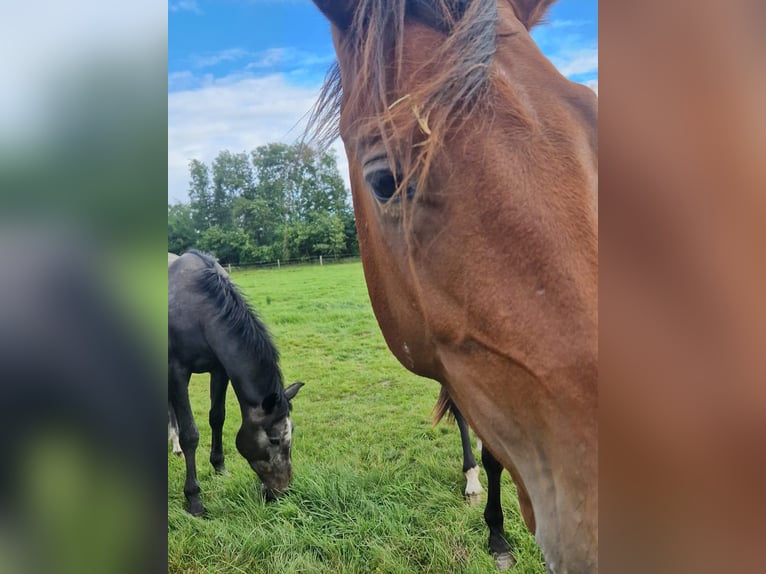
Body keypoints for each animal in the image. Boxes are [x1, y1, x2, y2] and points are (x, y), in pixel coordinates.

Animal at [168, 250, 304, 515]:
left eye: (292, 431)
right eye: (274, 439)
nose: (281, 491)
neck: (199, 312)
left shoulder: (219, 369)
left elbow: (217, 417)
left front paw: (220, 467)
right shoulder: (177, 370)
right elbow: (191, 433)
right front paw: (194, 499)